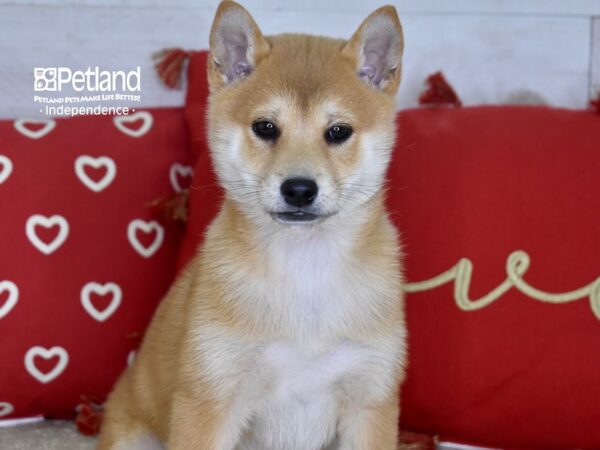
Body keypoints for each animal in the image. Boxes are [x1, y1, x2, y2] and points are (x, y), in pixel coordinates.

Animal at [98, 1, 406, 448]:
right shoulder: (211, 398)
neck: (303, 268)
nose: (299, 189)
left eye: (338, 131)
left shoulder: (369, 400)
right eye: (265, 127)